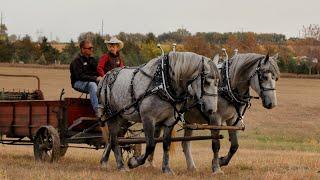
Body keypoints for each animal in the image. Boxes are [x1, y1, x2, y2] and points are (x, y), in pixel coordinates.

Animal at [148, 52, 280, 174]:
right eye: (264, 77)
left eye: (276, 78)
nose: (272, 104)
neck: (228, 86)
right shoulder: (215, 119)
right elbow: (216, 145)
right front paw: (216, 168)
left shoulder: (233, 120)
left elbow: (235, 145)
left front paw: (221, 161)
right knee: (155, 136)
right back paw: (149, 163)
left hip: (189, 121)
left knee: (185, 144)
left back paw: (191, 167)